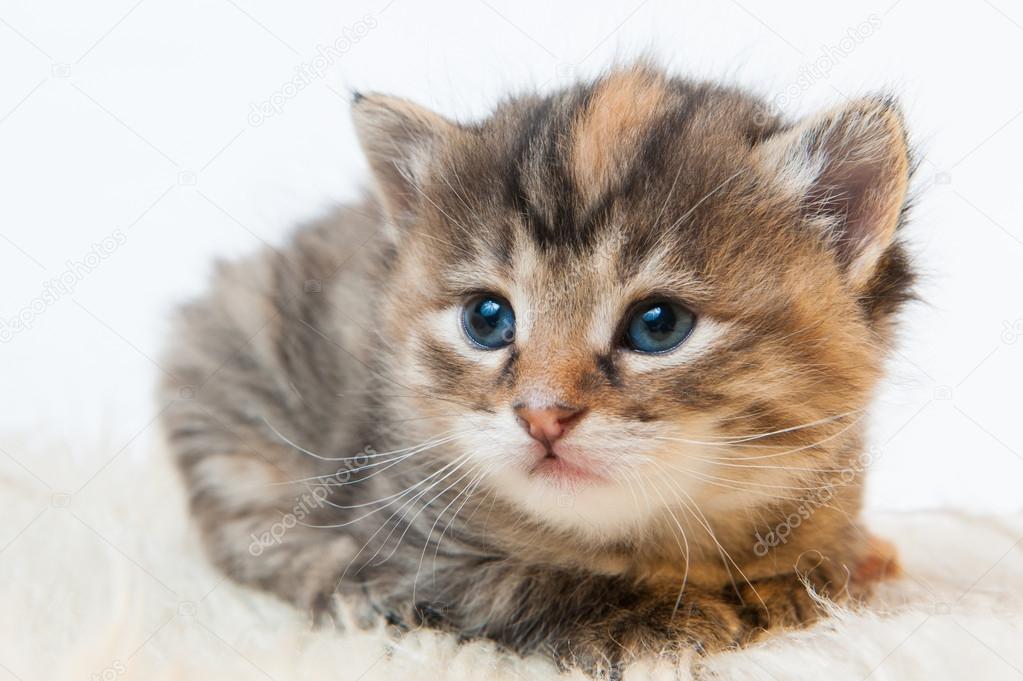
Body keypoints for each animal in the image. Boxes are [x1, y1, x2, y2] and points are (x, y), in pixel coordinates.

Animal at [159, 64, 912, 674]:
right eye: (487, 319)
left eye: (658, 324)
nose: (542, 414)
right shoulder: (410, 535)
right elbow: (514, 582)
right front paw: (656, 615)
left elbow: (817, 559)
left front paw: (809, 575)